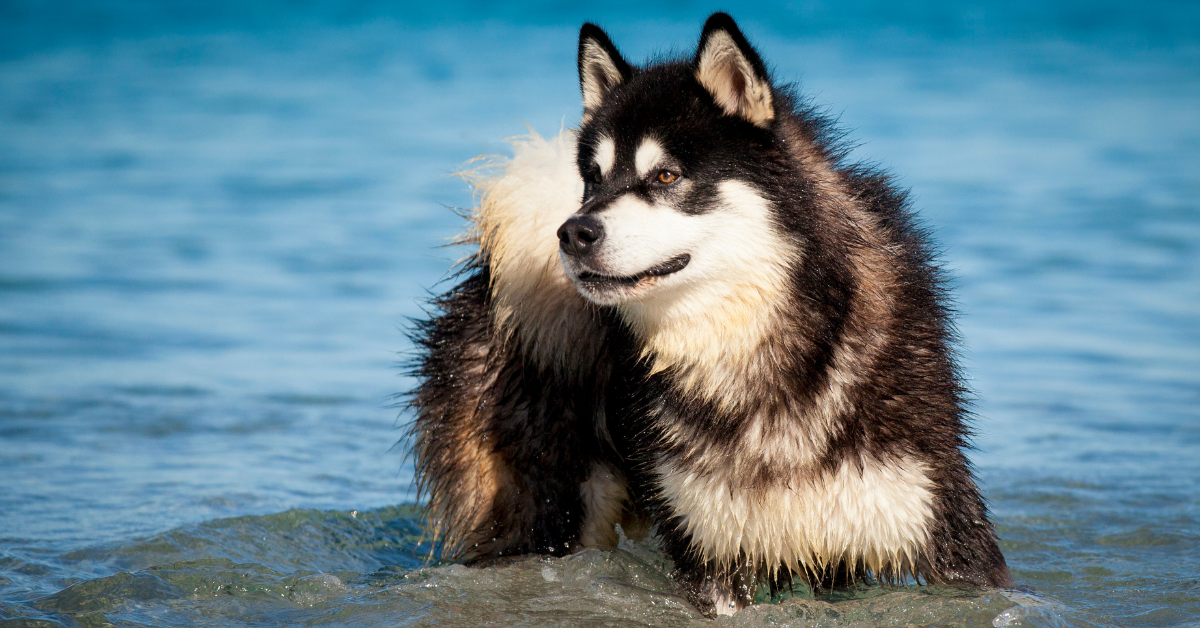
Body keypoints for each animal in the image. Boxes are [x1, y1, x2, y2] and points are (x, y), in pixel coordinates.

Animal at [408, 12, 1008, 614]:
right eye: (594, 178)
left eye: (666, 176)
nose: (573, 232)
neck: (748, 354)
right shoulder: (709, 550)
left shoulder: (938, 526)